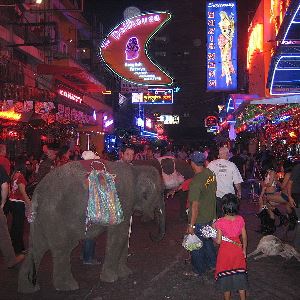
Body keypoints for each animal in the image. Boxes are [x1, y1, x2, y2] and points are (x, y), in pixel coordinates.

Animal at [17, 159, 165, 292]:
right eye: (161, 192)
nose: (152, 234)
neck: (136, 168)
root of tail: (37, 194)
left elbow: (125, 235)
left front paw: (126, 274)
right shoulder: (125, 199)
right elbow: (120, 236)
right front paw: (111, 279)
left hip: (41, 218)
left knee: (36, 247)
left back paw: (28, 289)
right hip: (55, 216)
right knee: (63, 248)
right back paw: (68, 287)